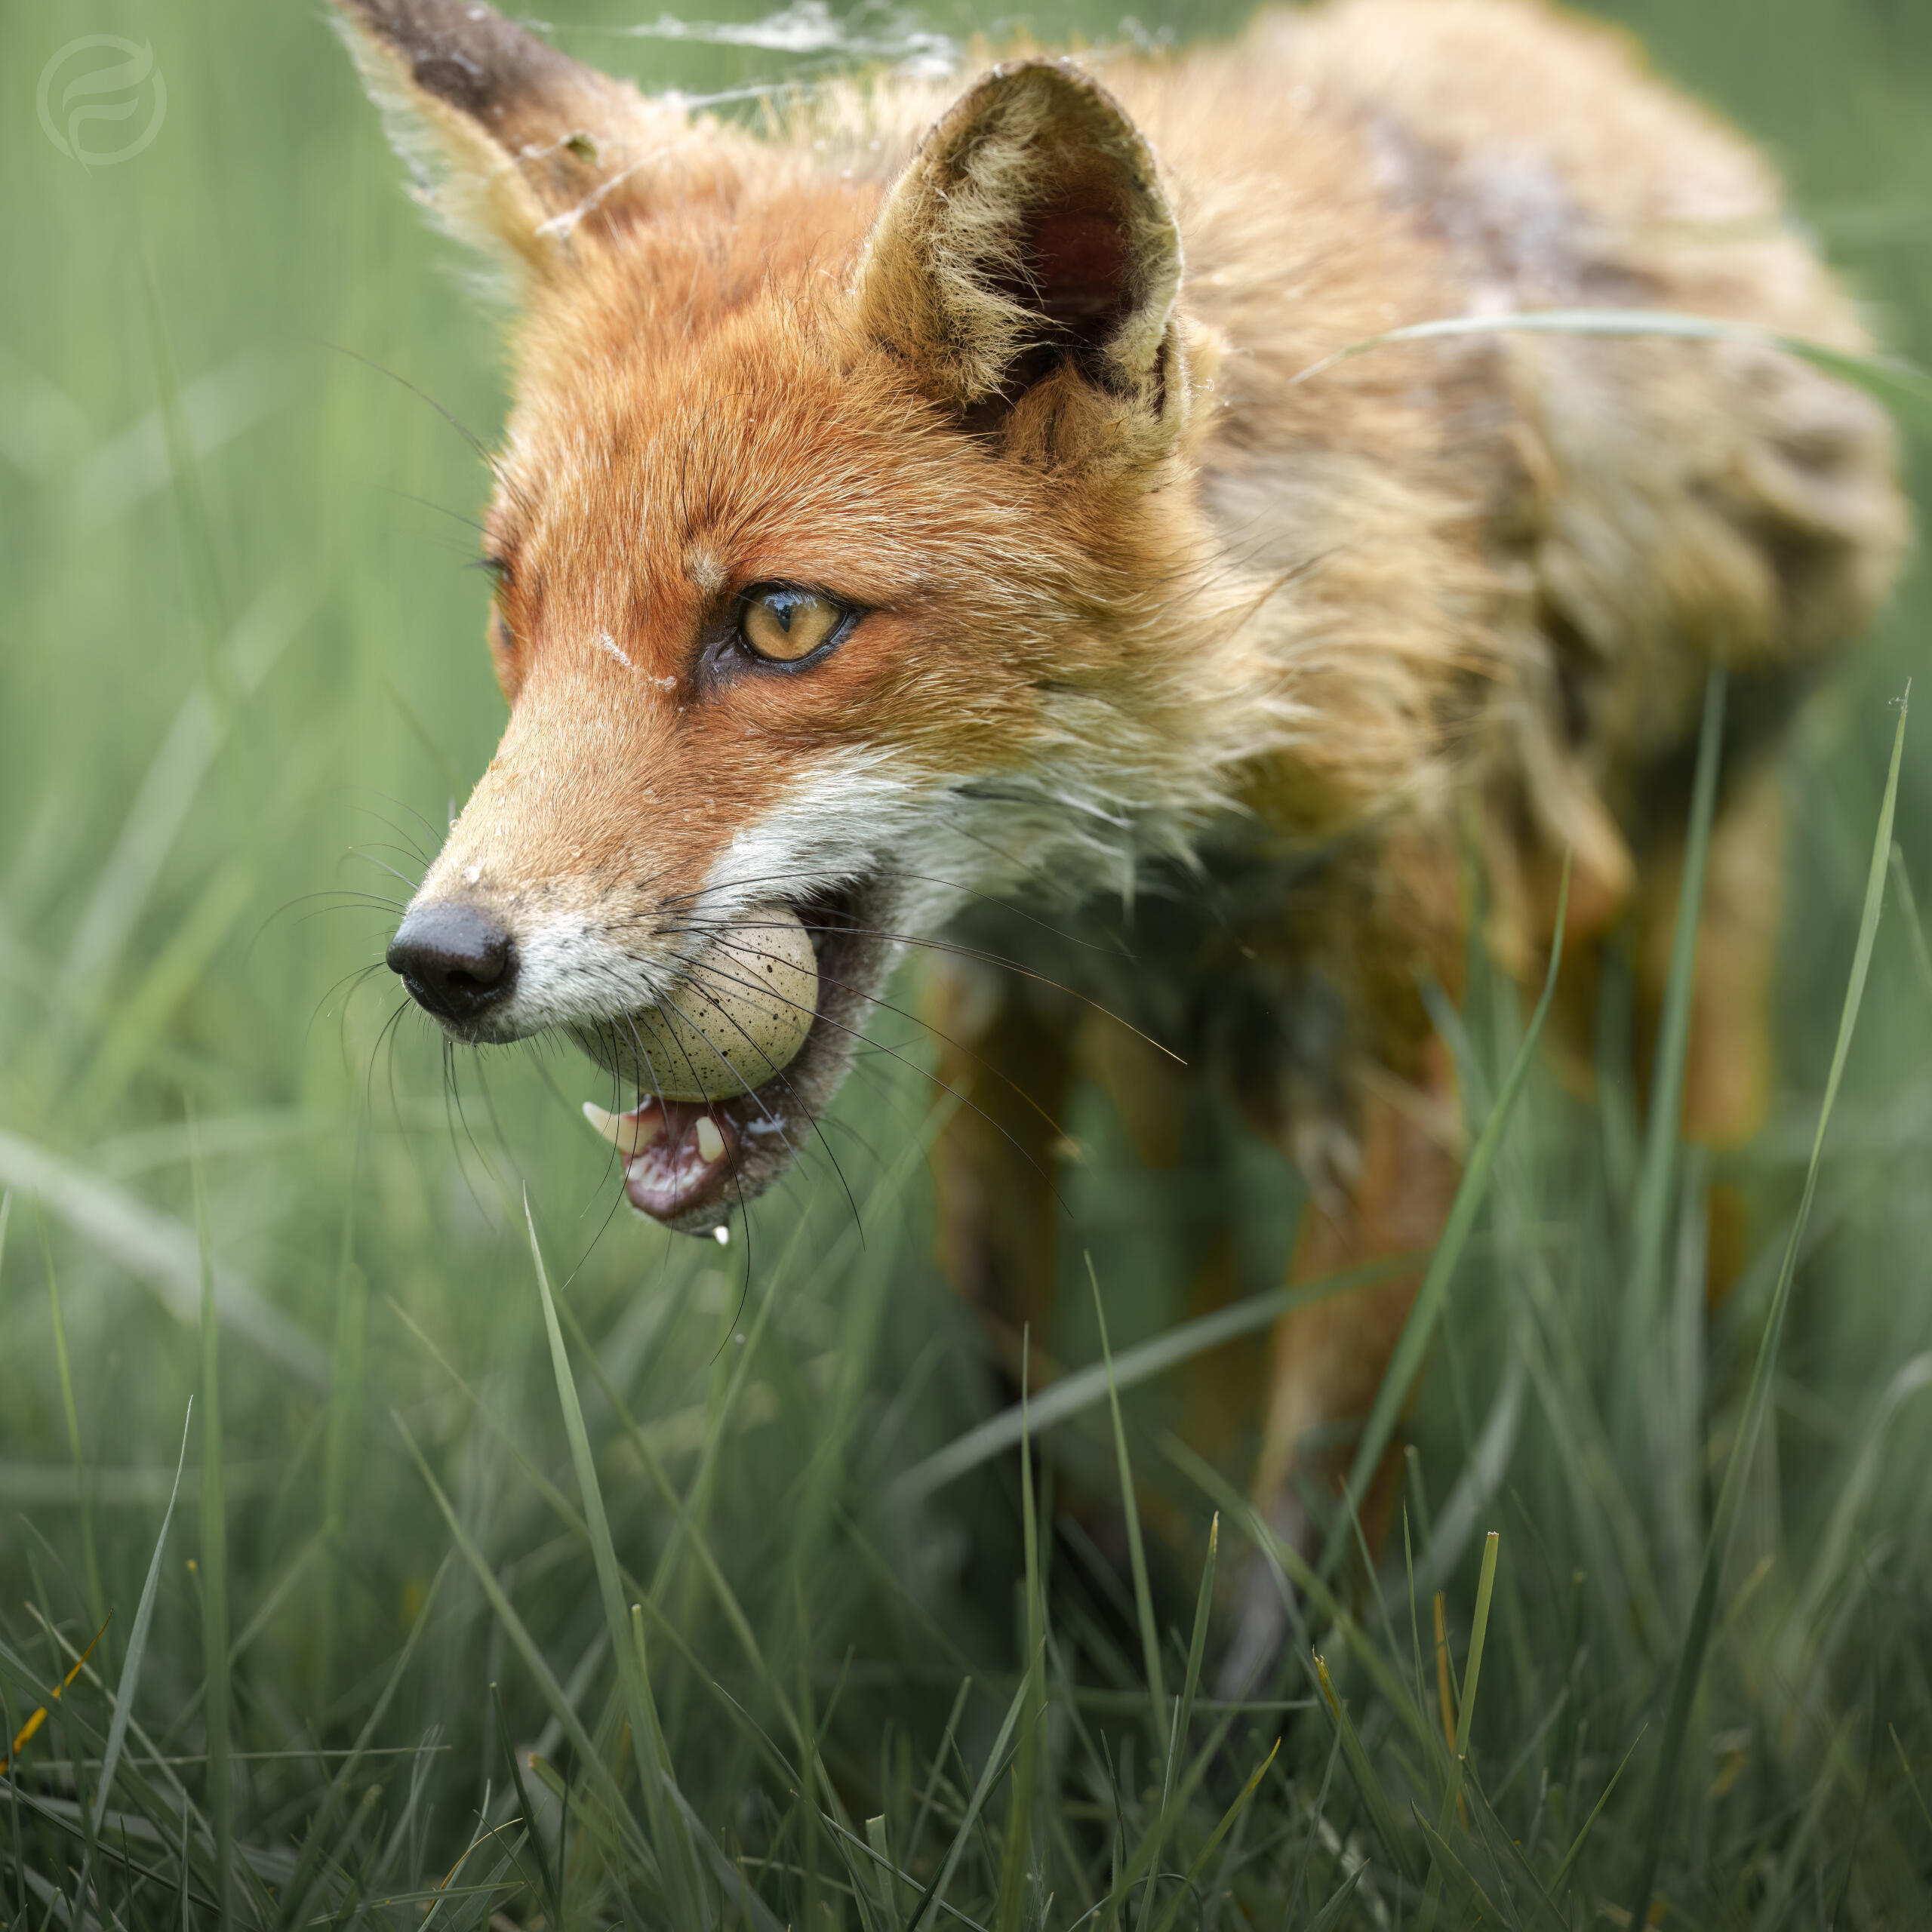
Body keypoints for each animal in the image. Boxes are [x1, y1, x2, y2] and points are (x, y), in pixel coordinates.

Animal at [337, 0, 1905, 1644]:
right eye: (514, 603)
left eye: (780, 622)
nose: (440, 961)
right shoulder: (1000, 1005)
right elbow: (1007, 1379)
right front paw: (1094, 1606)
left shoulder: (1395, 1071)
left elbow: (1308, 1546)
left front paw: (1218, 1689)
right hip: (1173, 1089)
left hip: (1671, 959)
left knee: (1711, 1277)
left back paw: (1739, 1567)